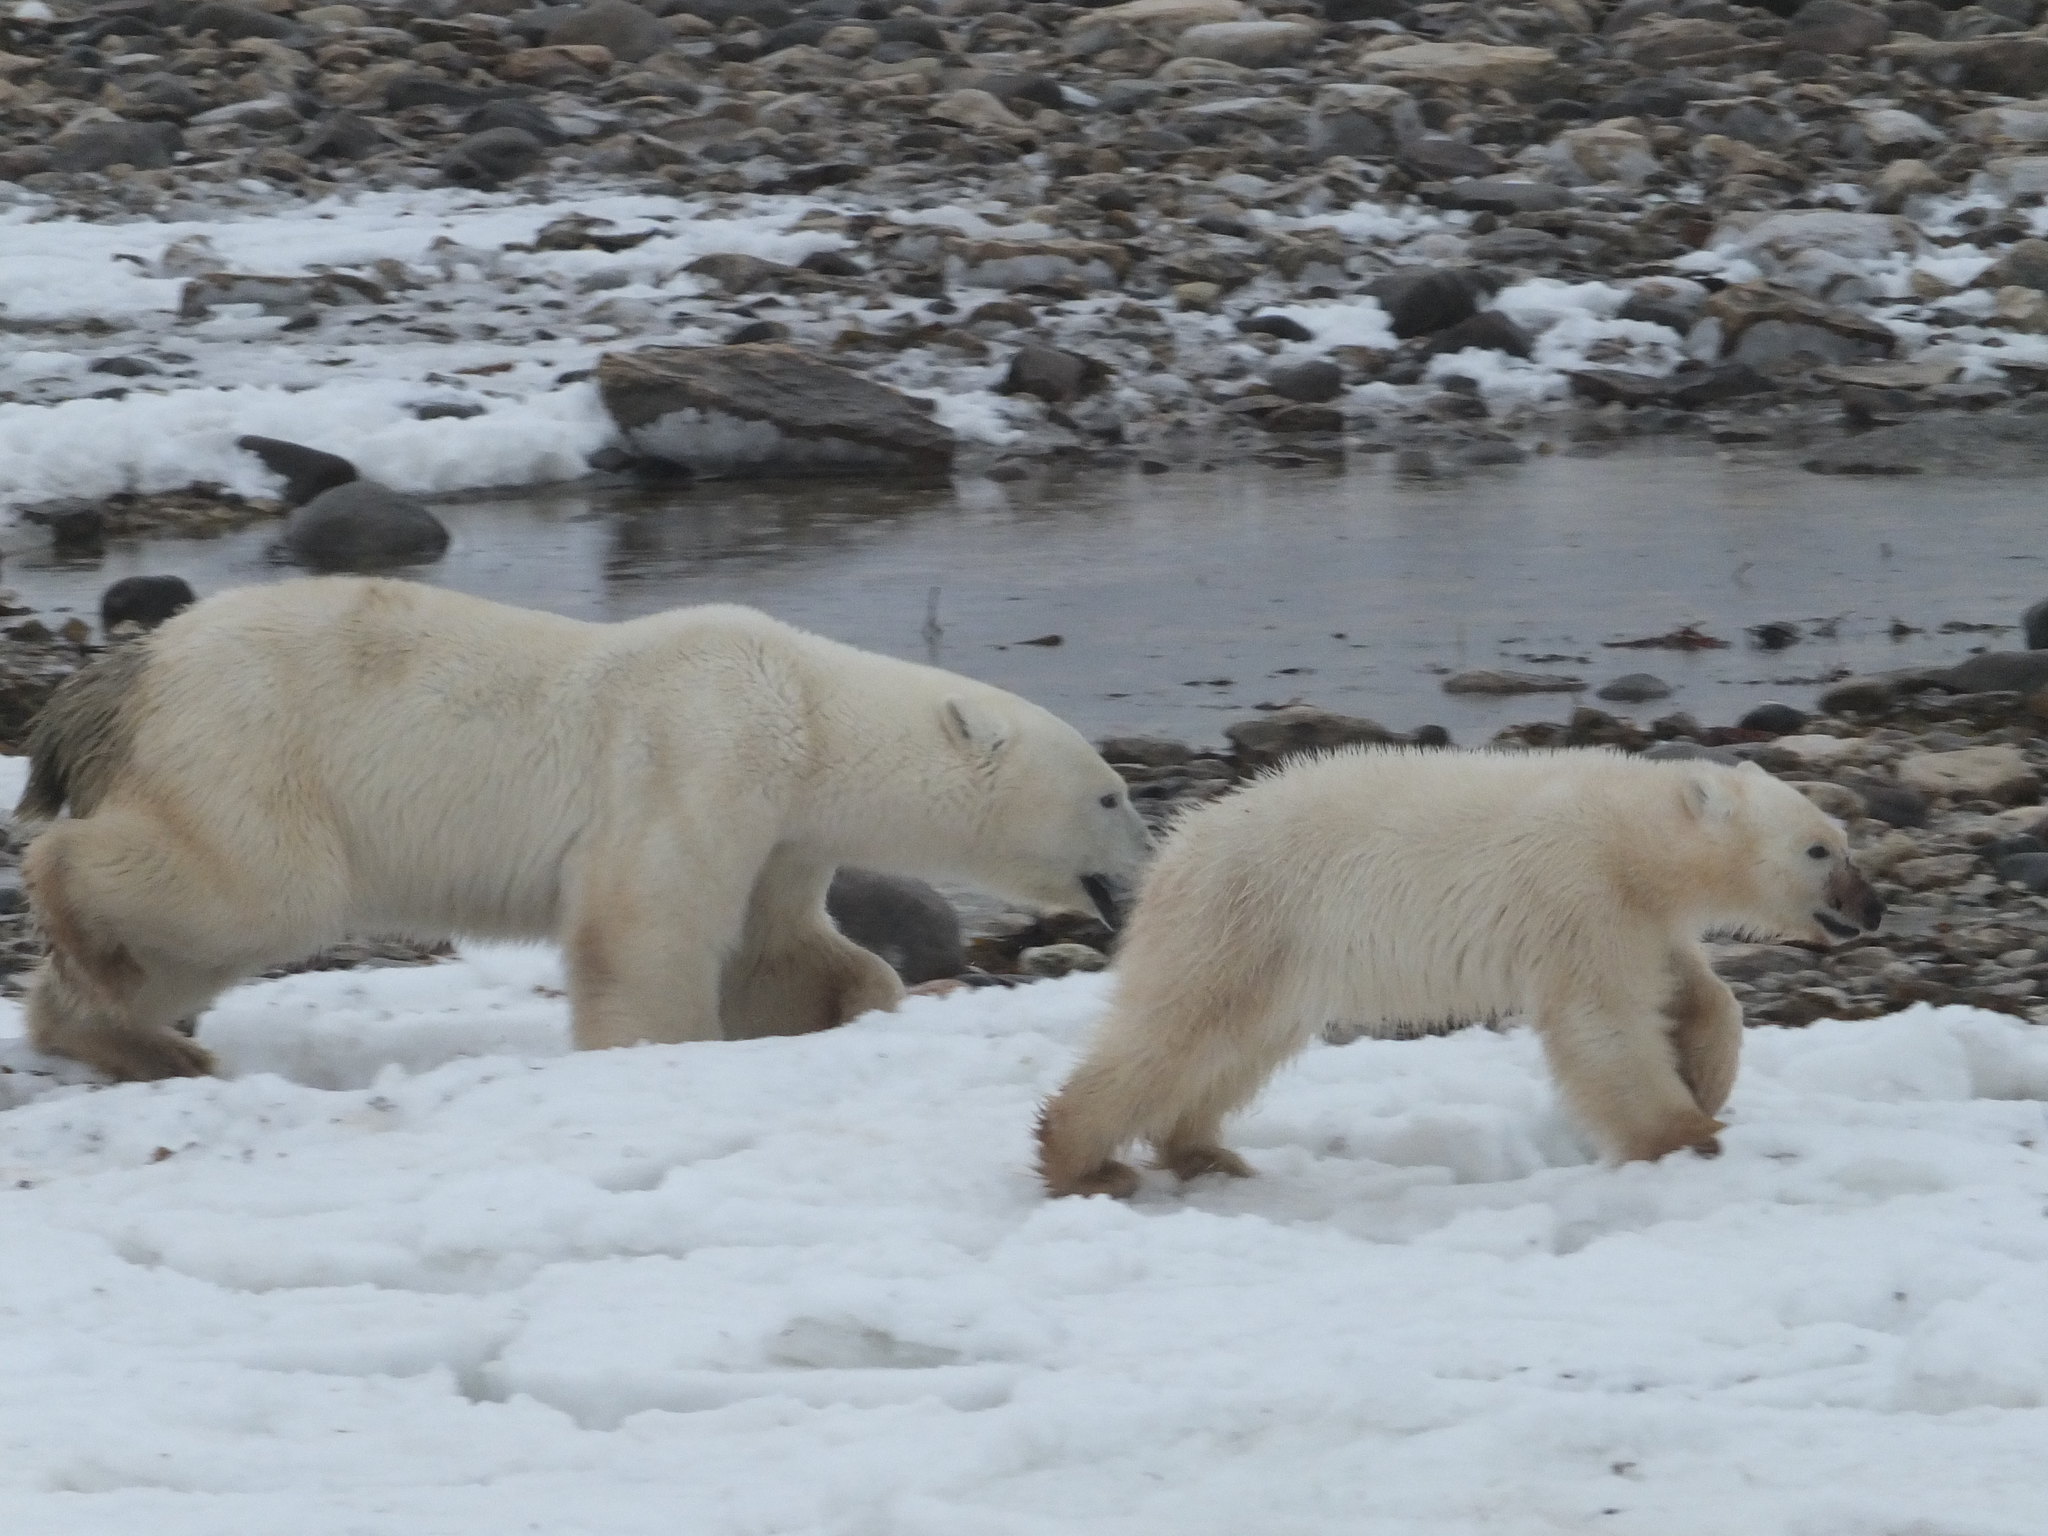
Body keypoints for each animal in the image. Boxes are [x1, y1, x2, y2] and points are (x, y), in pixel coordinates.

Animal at [14, 576, 1152, 1082]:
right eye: (1110, 795)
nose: (1142, 866)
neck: (805, 705)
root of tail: (126, 673)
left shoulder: (781, 831)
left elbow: (777, 947)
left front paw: (847, 1003)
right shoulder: (697, 750)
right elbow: (645, 924)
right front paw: (659, 1052)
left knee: (195, 943)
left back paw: (129, 1036)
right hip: (249, 744)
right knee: (258, 893)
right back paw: (85, 937)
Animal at [1035, 747, 1884, 1199]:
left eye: (1844, 840)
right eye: (1819, 849)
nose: (1872, 908)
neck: (1630, 832)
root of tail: (1179, 844)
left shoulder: (1637, 915)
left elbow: (1693, 992)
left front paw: (1704, 1078)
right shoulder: (1579, 895)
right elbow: (1603, 1021)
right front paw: (1686, 1135)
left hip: (1273, 951)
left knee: (1236, 1043)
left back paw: (1201, 1150)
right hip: (1243, 915)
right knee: (1174, 1027)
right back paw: (1083, 1162)